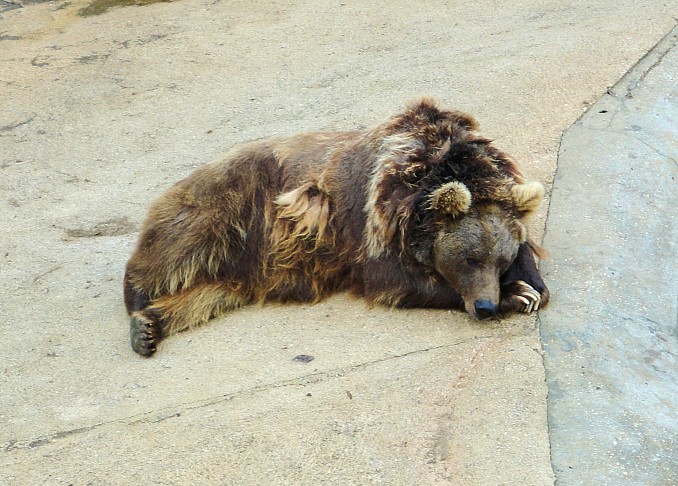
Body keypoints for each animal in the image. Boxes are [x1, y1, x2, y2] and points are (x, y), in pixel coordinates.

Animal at [124, 98, 549, 356]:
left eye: (500, 260)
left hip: (246, 266)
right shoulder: (374, 221)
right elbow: (397, 280)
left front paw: (531, 287)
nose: (485, 306)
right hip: (233, 203)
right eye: (468, 259)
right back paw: (138, 302)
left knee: (210, 294)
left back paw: (150, 325)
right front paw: (517, 294)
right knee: (181, 243)